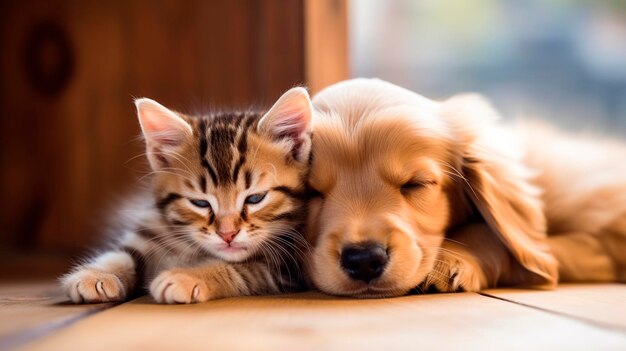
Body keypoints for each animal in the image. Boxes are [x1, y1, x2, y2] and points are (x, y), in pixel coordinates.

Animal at [60, 86, 310, 304]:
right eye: (199, 203)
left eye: (255, 198)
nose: (227, 235)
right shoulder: (150, 226)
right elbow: (122, 254)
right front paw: (96, 274)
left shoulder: (284, 266)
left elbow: (239, 268)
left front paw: (186, 276)